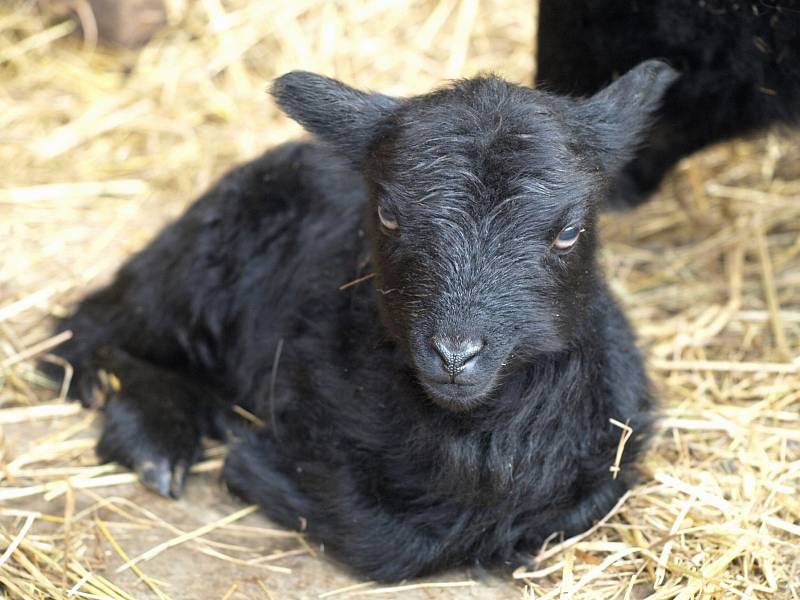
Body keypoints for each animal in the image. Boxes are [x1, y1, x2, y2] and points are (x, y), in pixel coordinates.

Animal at [47, 61, 680, 580]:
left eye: (569, 231)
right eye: (388, 215)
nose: (454, 354)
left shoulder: (617, 442)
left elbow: (579, 506)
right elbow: (380, 536)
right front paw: (256, 466)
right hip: (198, 264)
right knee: (86, 329)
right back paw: (153, 437)